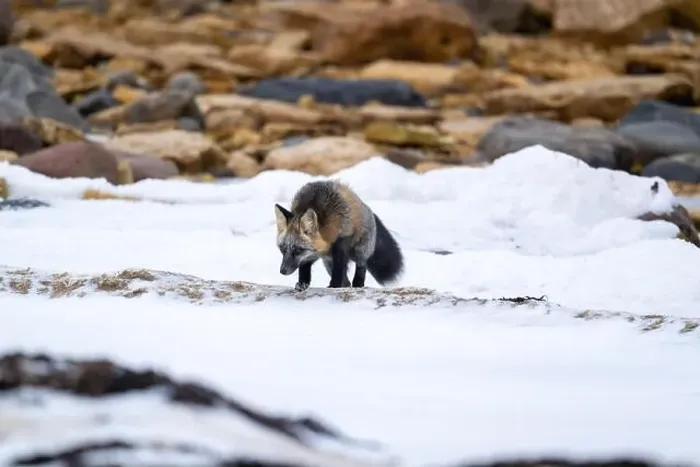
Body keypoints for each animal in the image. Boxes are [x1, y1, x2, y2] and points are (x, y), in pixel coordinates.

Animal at [274, 180, 404, 291]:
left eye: (298, 250)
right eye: (282, 249)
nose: (282, 271)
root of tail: (367, 207)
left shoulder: (342, 240)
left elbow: (339, 269)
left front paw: (334, 286)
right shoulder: (309, 255)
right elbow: (304, 268)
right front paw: (303, 284)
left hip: (359, 251)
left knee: (362, 265)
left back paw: (358, 284)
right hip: (327, 262)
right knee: (346, 282)